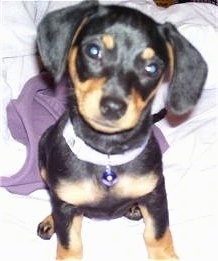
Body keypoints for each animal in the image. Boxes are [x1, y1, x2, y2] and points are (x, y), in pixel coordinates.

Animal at [36, 1, 207, 258]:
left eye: (152, 67)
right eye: (93, 50)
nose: (113, 107)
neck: (107, 154)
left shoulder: (156, 195)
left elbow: (158, 234)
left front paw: (165, 255)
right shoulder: (66, 207)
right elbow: (69, 244)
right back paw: (50, 220)